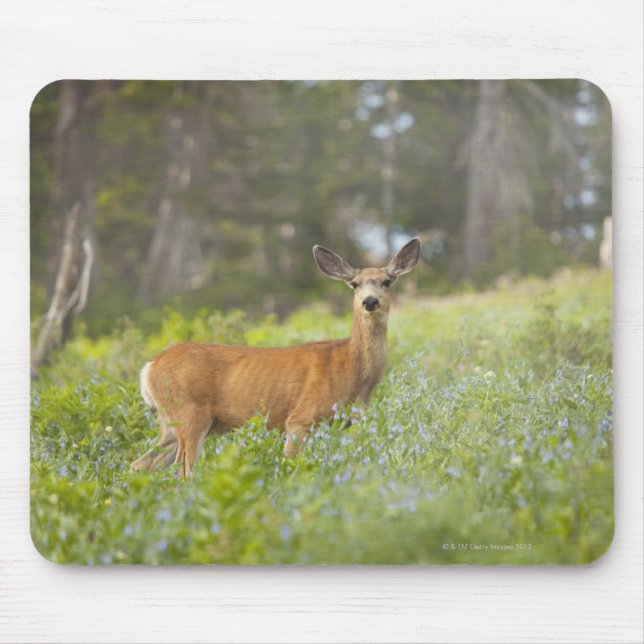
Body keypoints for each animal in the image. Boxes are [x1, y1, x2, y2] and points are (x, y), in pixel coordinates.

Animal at [130, 237, 421, 477]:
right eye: (354, 283)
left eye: (387, 281)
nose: (369, 301)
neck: (352, 369)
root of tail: (148, 368)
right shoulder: (301, 419)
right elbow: (294, 465)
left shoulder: (344, 423)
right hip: (189, 413)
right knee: (184, 472)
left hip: (169, 425)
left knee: (140, 464)